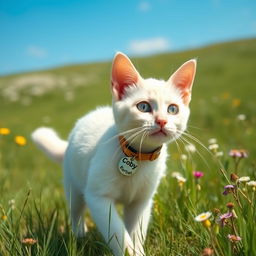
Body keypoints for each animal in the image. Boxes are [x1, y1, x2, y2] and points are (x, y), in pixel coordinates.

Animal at [31, 52, 196, 256]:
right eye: (143, 107)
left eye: (173, 109)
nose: (162, 121)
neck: (138, 156)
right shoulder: (98, 198)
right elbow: (117, 231)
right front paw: (129, 251)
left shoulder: (141, 201)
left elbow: (136, 230)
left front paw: (138, 249)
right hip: (73, 185)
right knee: (76, 211)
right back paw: (79, 235)